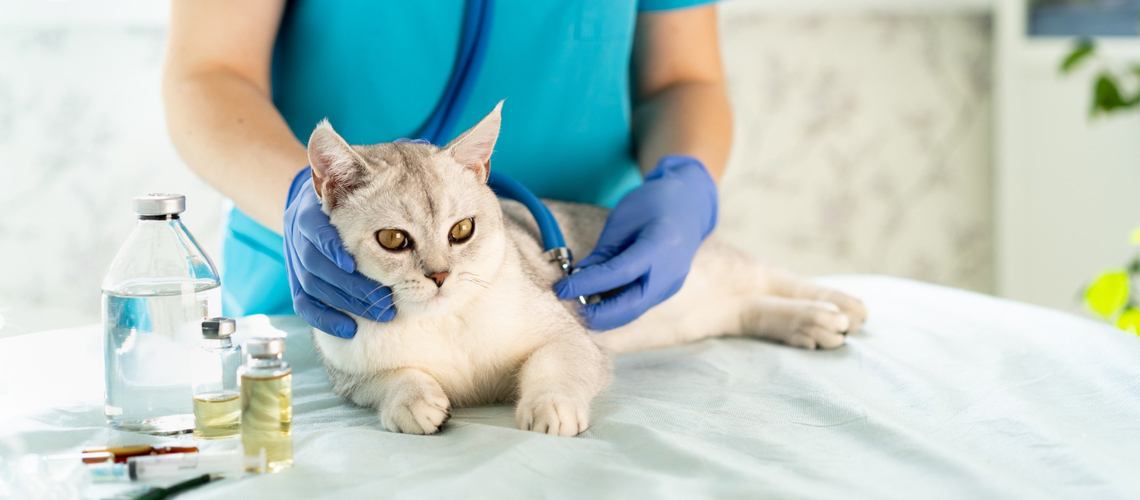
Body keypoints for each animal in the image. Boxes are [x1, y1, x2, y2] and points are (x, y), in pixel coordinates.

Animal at [307, 102, 866, 437]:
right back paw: (811, 322)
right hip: (693, 317)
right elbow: (392, 378)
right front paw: (414, 401)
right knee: (744, 308)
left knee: (769, 277)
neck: (444, 322)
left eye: (461, 231)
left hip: (708, 268)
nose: (440, 275)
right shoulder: (348, 374)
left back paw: (839, 307)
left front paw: (549, 408)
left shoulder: (568, 334)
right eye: (393, 240)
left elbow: (555, 368)